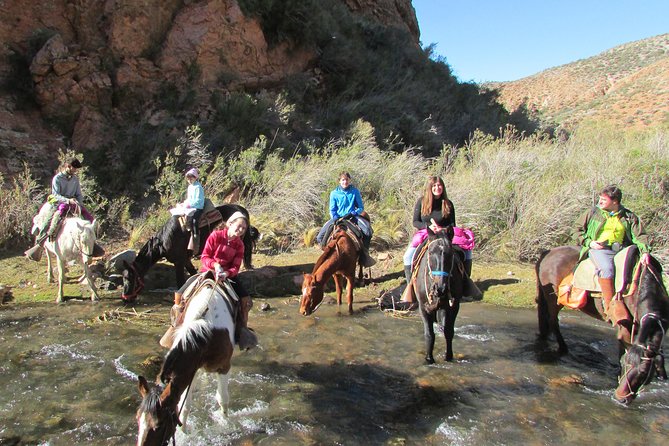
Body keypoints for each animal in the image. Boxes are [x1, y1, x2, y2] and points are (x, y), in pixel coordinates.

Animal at [120, 203, 258, 302]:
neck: (166, 240)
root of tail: (242, 209)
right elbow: (194, 275)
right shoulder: (186, 260)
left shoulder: (179, 262)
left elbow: (181, 284)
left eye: (130, 278)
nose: (125, 298)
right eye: (123, 277)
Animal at [134, 278, 236, 444]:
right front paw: (184, 432)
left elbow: (223, 399)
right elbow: (185, 405)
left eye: (159, 425)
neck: (207, 335)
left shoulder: (224, 367)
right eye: (137, 418)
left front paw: (225, 423)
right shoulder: (190, 371)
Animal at [412, 230, 464, 362]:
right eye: (430, 252)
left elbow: (449, 332)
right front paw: (429, 358)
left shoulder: (453, 307)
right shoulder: (423, 307)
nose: (440, 288)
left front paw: (448, 356)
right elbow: (429, 334)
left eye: (450, 253)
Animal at [536, 246, 668, 406]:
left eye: (644, 374)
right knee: (553, 322)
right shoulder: (625, 326)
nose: (621, 398)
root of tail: (547, 252)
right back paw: (563, 347)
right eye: (626, 365)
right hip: (553, 299)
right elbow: (623, 349)